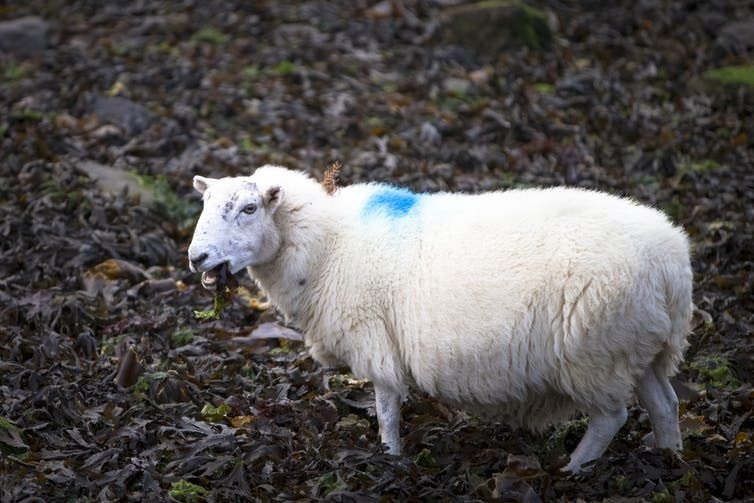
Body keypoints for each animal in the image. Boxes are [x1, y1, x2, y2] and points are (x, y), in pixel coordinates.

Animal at [187, 165, 692, 473]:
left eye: (249, 208)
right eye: (205, 206)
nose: (197, 258)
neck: (329, 245)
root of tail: (671, 261)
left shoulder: (376, 341)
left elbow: (387, 410)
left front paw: (391, 458)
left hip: (595, 350)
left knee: (611, 416)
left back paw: (574, 469)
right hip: (637, 345)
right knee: (664, 404)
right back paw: (670, 459)